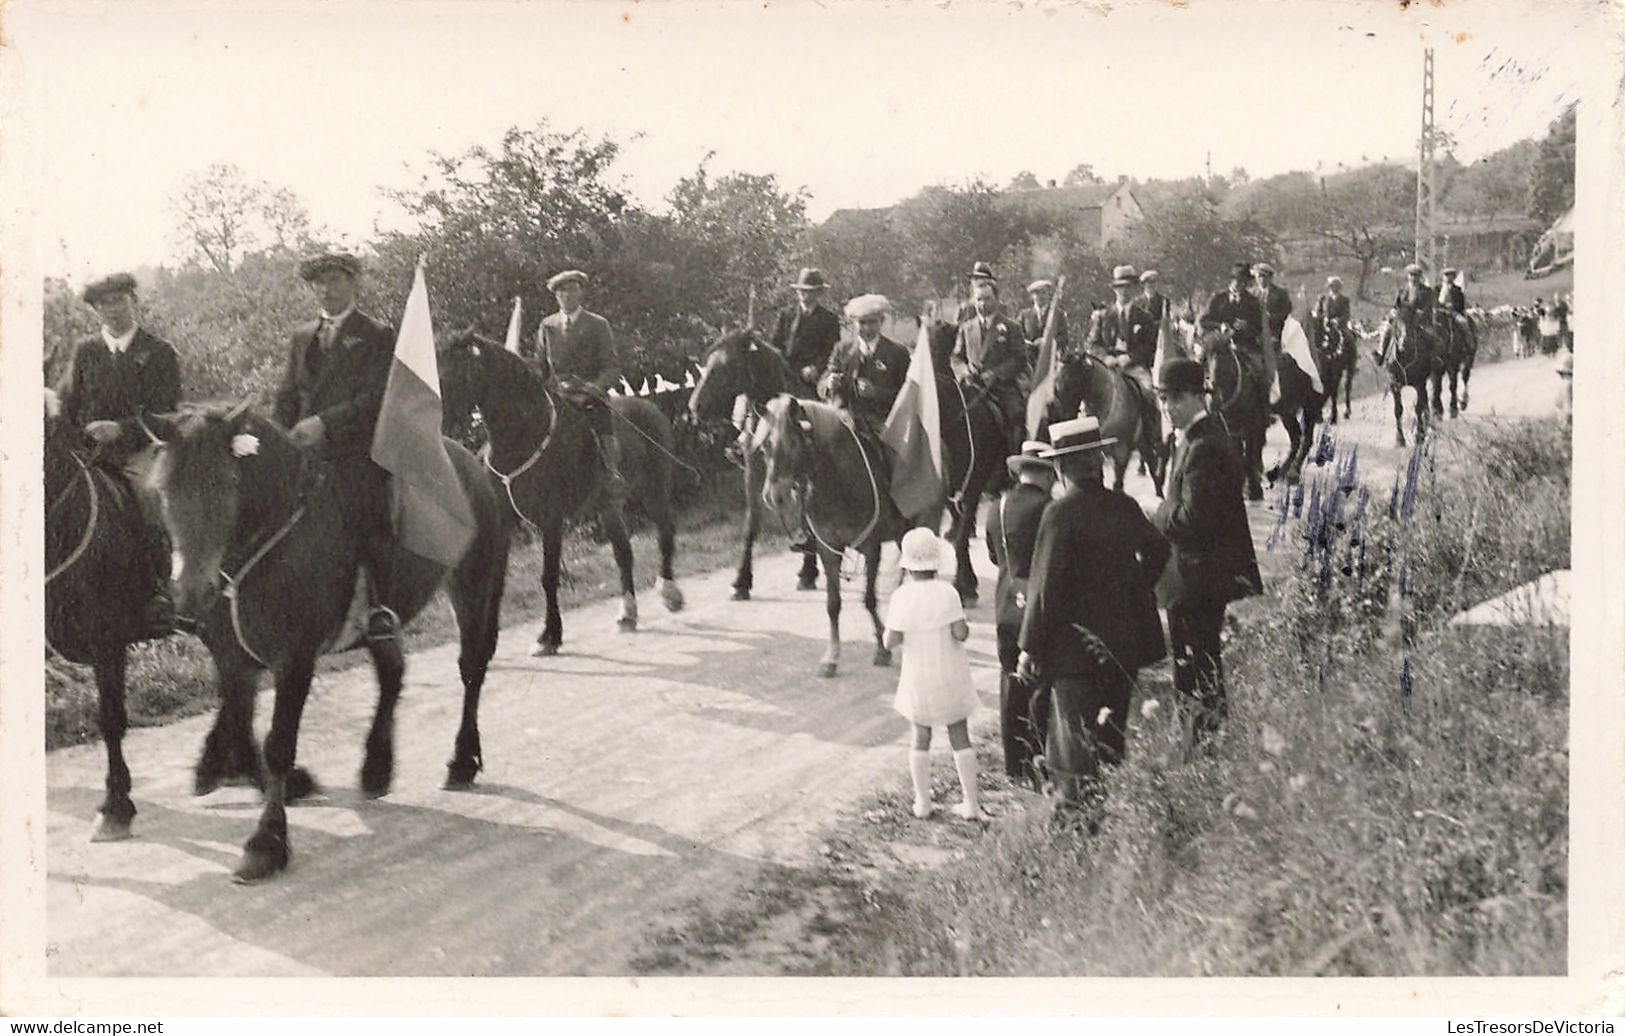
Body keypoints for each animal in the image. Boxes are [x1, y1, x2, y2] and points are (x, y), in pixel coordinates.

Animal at [152, 405, 510, 883]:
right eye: (164, 489)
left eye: (226, 483)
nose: (190, 595)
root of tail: (471, 464)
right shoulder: (232, 658)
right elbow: (241, 726)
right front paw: (233, 772)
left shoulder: (295, 659)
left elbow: (278, 745)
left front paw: (267, 841)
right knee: (392, 673)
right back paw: (376, 767)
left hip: (473, 584)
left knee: (471, 669)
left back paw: (462, 760)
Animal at [435, 331, 682, 656]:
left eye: (454, 374)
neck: (521, 439)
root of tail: (649, 408)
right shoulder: (504, 524)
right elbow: (497, 582)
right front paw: (486, 641)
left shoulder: (550, 521)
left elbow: (548, 577)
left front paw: (549, 636)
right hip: (609, 507)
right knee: (623, 554)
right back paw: (627, 614)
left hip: (654, 492)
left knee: (665, 533)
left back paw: (669, 592)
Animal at [754, 392, 936, 678]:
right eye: (765, 446)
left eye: (794, 443)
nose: (775, 497)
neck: (838, 482)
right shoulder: (828, 549)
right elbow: (833, 604)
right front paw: (831, 657)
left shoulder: (871, 547)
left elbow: (869, 599)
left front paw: (881, 650)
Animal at [1371, 311, 1436, 451]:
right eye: (1396, 325)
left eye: (1411, 322)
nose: (1404, 344)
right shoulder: (1395, 384)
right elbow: (1398, 410)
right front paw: (1399, 439)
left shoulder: (1419, 383)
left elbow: (1418, 408)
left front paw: (1419, 436)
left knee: (1424, 403)